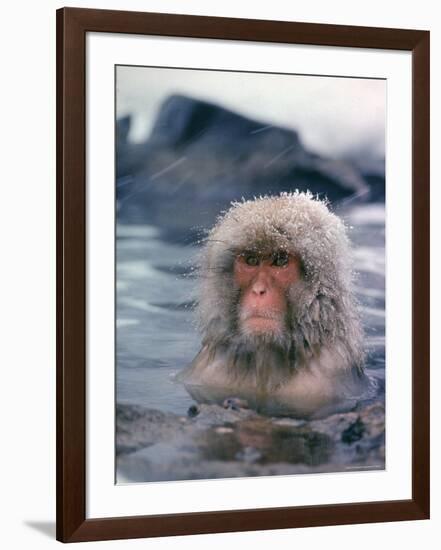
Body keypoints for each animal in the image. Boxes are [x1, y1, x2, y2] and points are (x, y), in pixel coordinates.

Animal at [177, 193, 370, 418]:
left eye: (280, 260)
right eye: (251, 260)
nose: (259, 291)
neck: (265, 360)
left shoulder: (323, 380)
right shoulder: (207, 372)